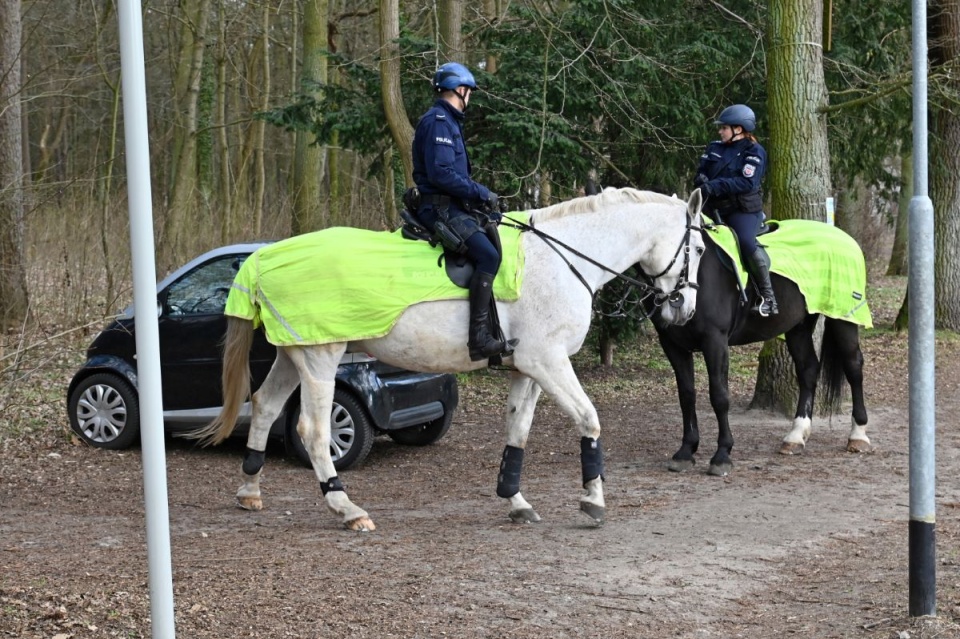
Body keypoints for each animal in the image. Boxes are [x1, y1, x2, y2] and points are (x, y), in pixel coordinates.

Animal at [193, 188, 704, 532]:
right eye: (698, 248)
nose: (683, 310)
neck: (562, 258)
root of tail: (266, 257)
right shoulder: (549, 362)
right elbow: (589, 418)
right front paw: (593, 499)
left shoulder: (529, 369)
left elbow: (518, 430)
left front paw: (515, 500)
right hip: (321, 358)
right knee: (314, 431)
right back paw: (348, 510)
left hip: (293, 352)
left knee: (264, 406)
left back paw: (250, 491)